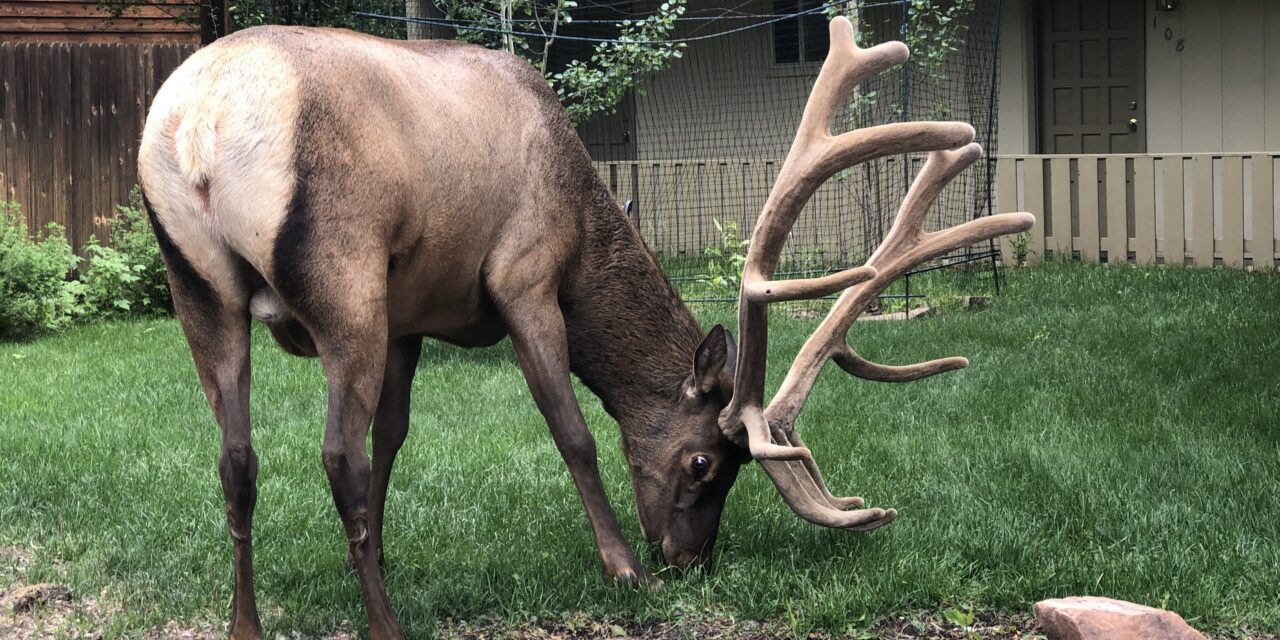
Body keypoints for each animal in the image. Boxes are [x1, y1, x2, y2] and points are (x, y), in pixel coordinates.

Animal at [140, 15, 1034, 640]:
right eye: (704, 461)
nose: (690, 560)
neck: (584, 208)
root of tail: (200, 124)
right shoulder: (523, 276)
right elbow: (571, 430)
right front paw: (623, 568)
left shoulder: (409, 317)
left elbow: (395, 435)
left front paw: (381, 551)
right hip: (343, 273)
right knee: (335, 456)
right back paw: (385, 625)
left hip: (200, 287)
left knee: (238, 459)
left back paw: (245, 622)